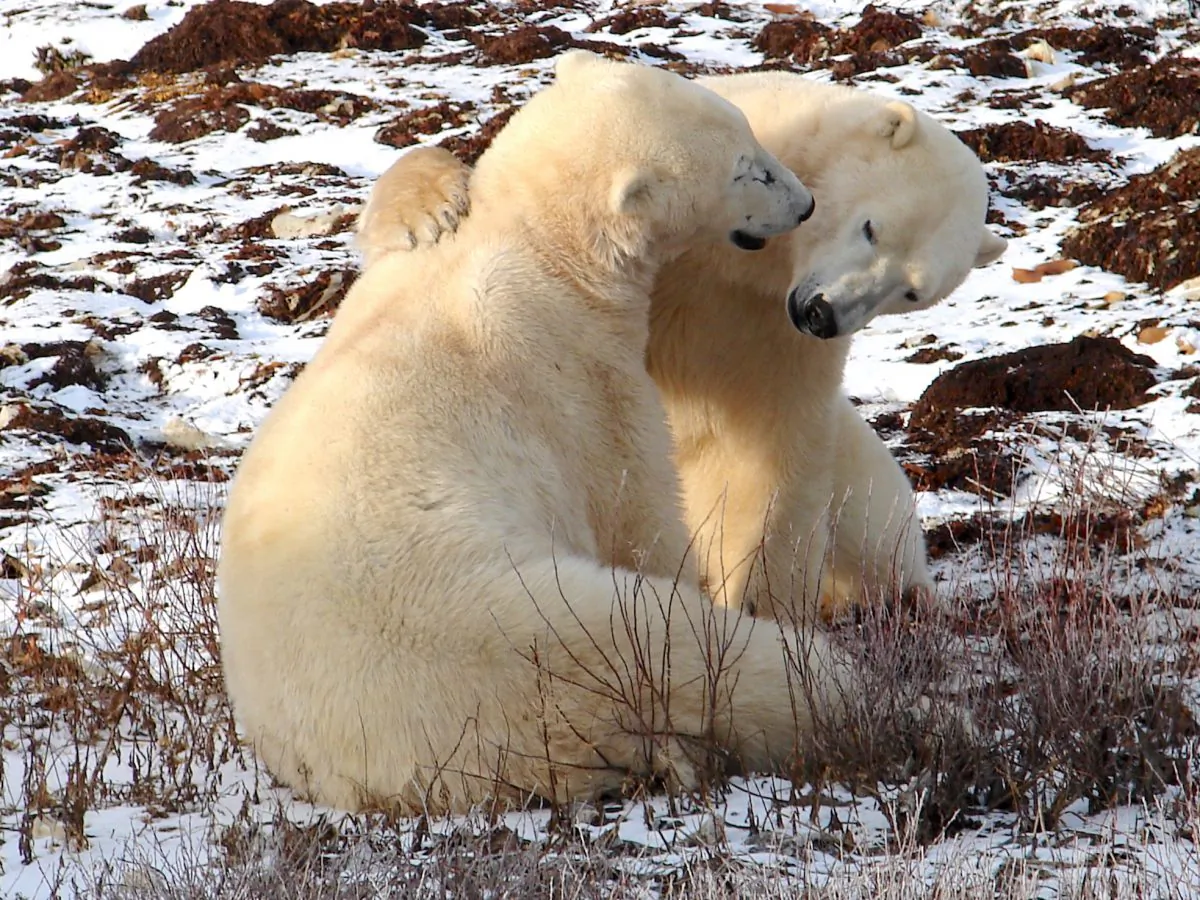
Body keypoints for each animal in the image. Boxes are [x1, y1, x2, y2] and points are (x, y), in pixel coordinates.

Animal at [217, 51, 852, 817]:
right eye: (745, 168)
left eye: (752, 134)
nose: (805, 203)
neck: (540, 244)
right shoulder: (585, 376)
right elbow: (637, 510)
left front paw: (433, 201)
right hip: (542, 617)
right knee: (698, 648)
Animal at [355, 70, 1007, 625]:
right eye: (872, 227)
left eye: (912, 291)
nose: (823, 313)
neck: (745, 267)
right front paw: (429, 212)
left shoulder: (774, 337)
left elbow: (775, 451)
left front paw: (760, 604)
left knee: (871, 524)